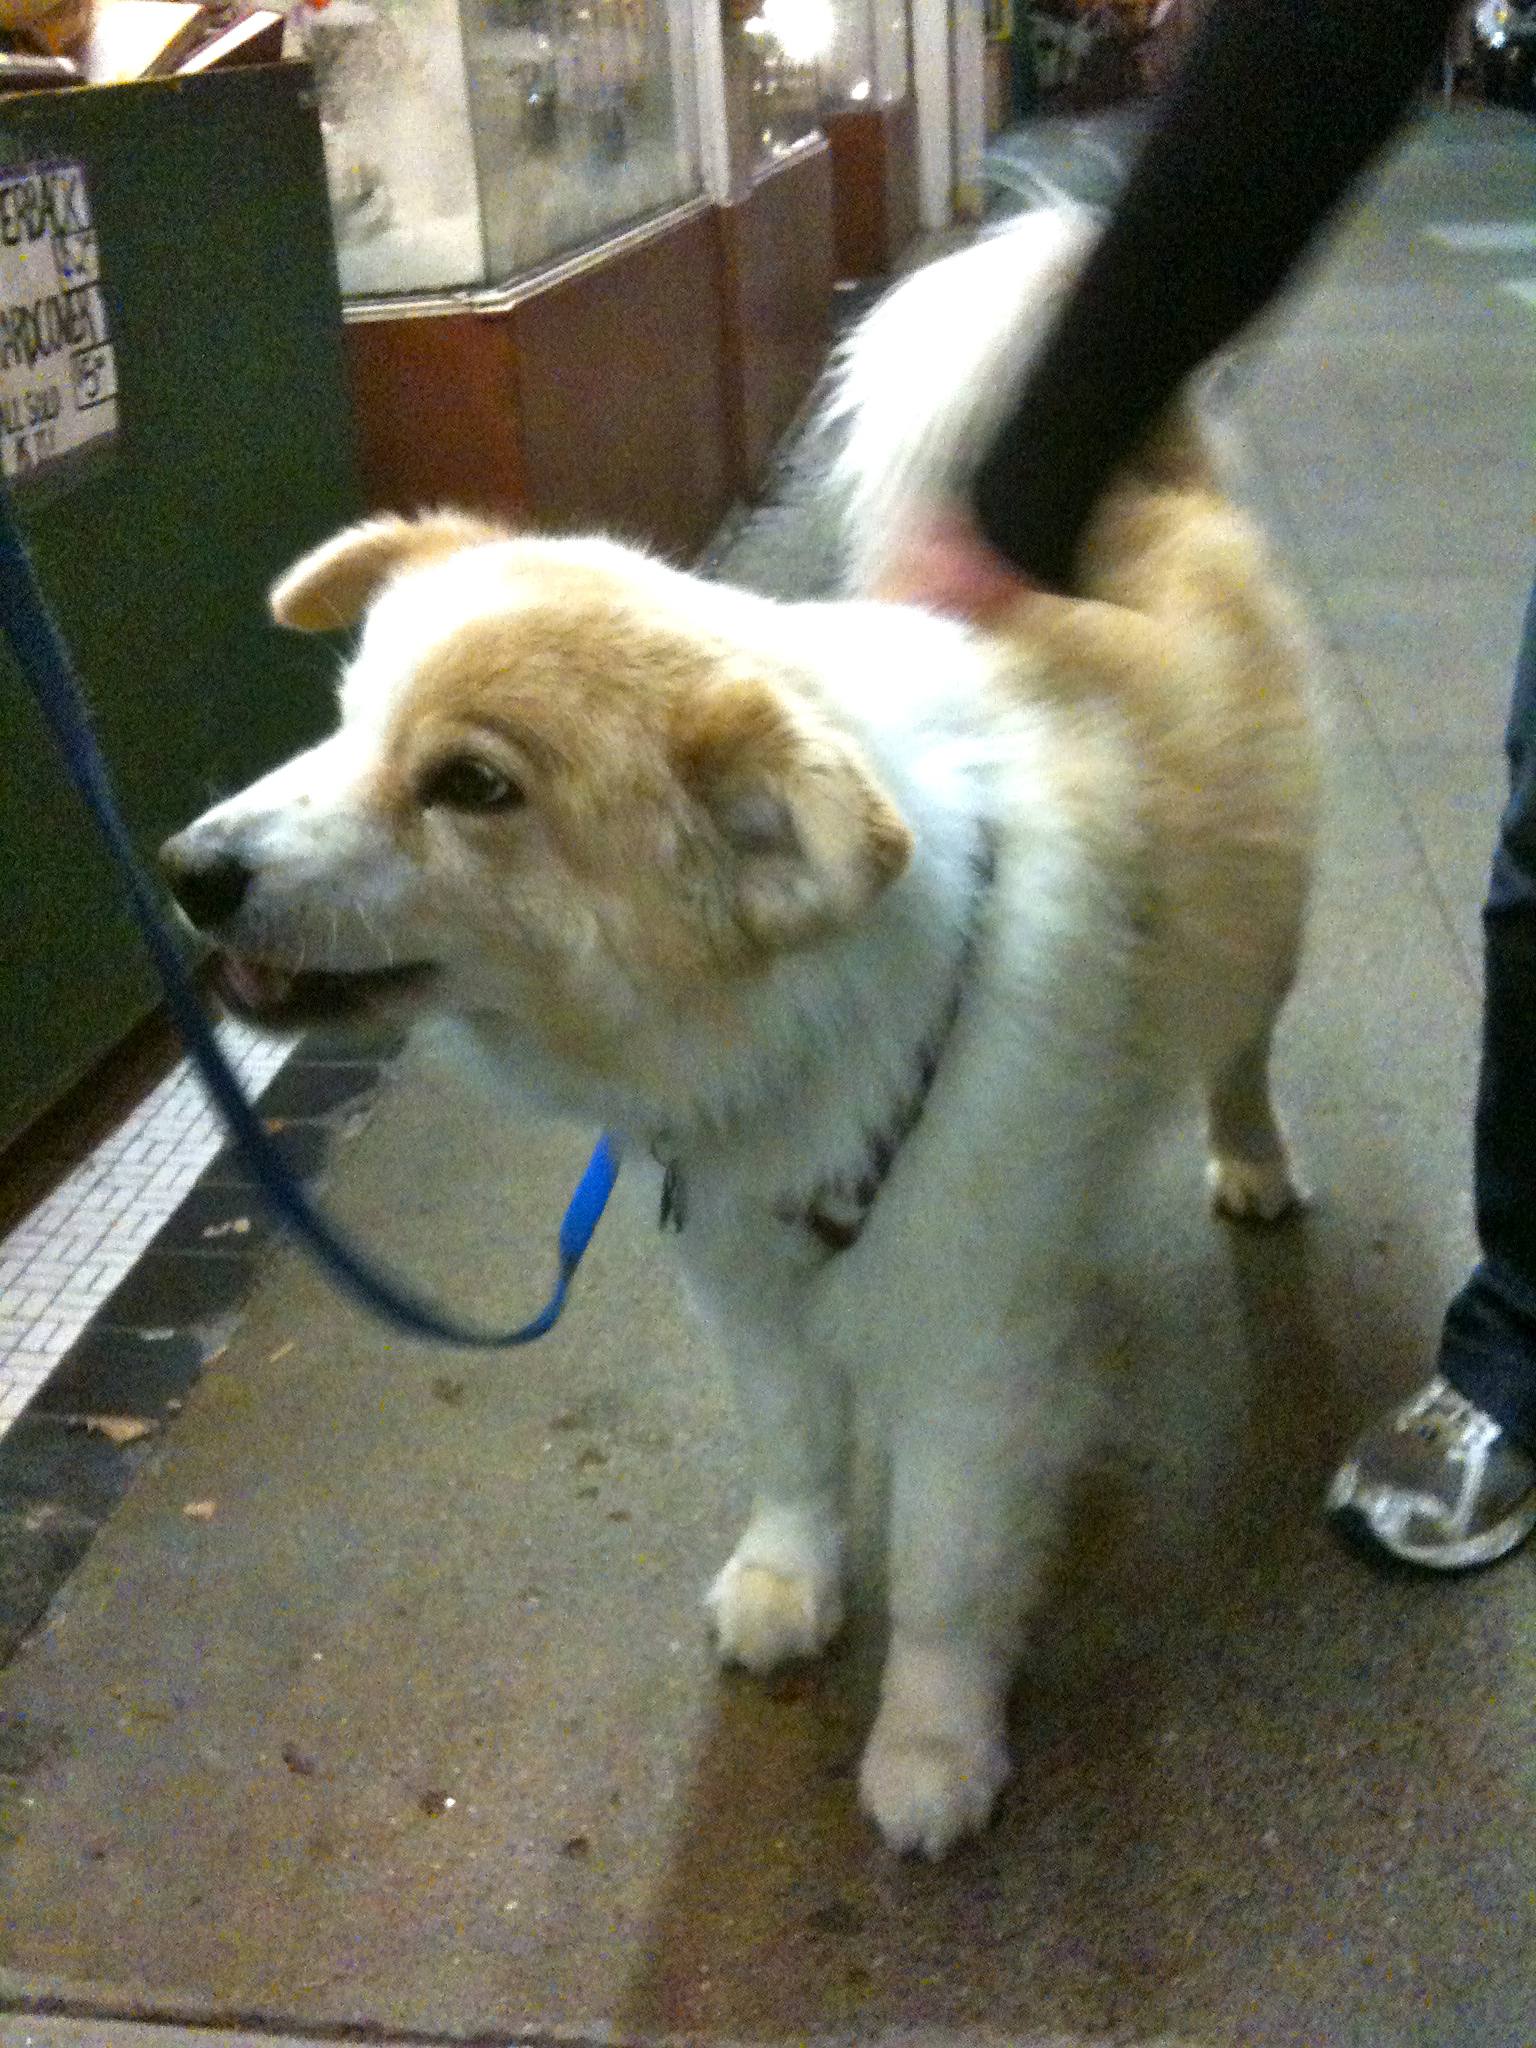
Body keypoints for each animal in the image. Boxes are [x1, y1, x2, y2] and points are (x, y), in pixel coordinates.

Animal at [159, 211, 1327, 1859]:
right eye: (343, 720)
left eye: (472, 786)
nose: (191, 869)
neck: (790, 1036)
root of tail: (1146, 486)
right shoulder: (748, 1282)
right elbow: (793, 1458)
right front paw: (790, 1580)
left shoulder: (967, 1349)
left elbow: (952, 1570)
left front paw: (932, 1747)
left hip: (1261, 965)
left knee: (1241, 1064)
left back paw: (1254, 1164)